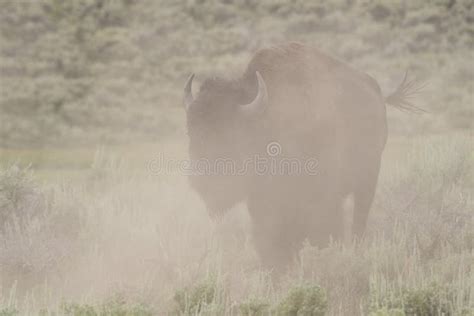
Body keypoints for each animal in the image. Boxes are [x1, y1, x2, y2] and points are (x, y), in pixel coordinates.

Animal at [182, 41, 422, 270]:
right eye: (190, 131)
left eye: (231, 135)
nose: (201, 180)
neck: (268, 120)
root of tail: (377, 93)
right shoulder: (263, 202)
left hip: (368, 179)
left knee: (358, 220)